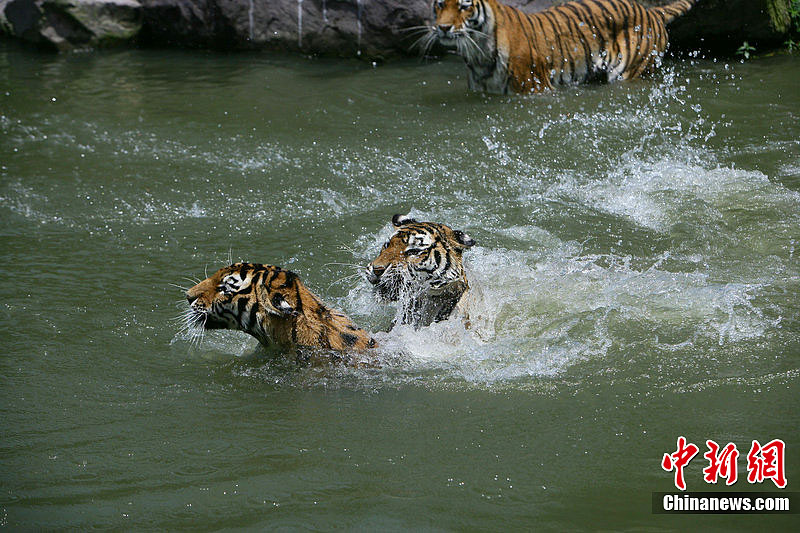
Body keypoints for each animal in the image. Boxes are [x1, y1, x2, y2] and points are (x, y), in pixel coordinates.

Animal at [428, 0, 696, 93]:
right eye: (440, 4)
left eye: (464, 6)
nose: (443, 28)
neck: (479, 51)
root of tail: (652, 11)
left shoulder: (535, 89)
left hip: (630, 71)